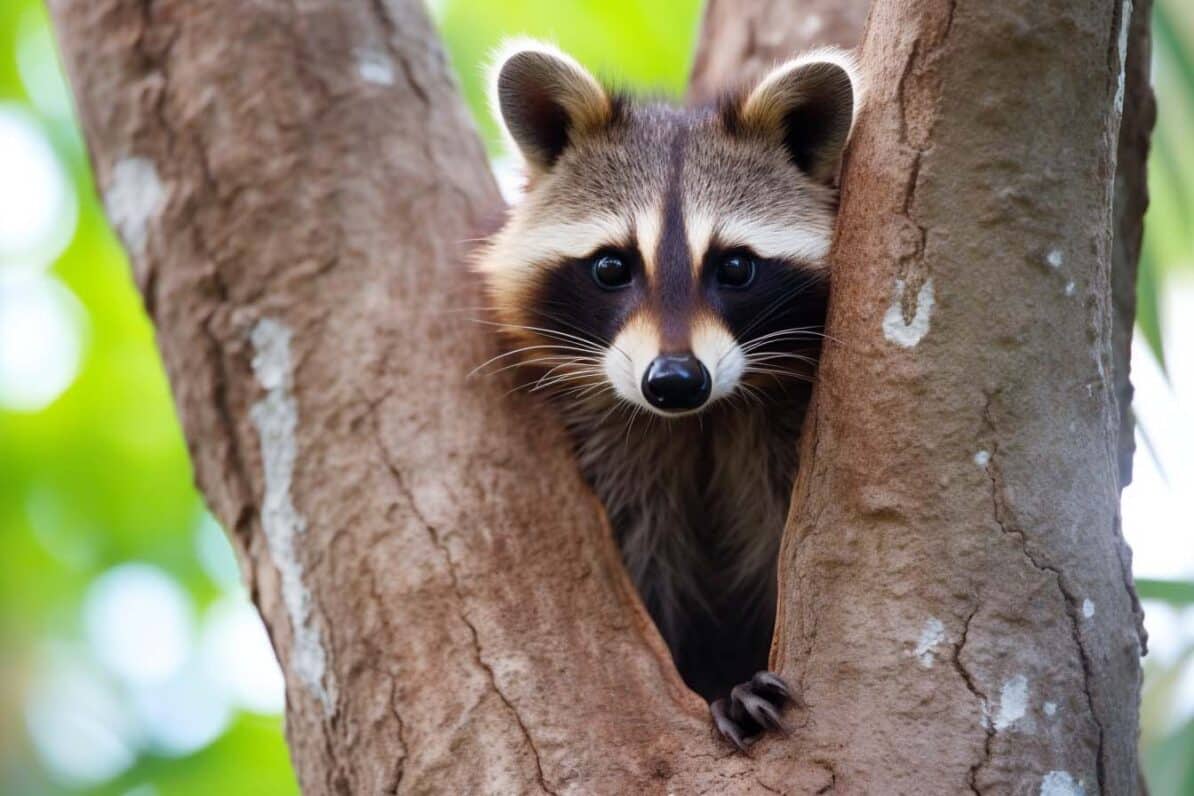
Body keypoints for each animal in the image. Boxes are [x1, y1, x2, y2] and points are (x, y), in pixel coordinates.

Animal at [476, 39, 858, 750]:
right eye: (610, 266)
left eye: (735, 267)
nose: (675, 382)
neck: (699, 422)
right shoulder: (616, 447)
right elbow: (646, 566)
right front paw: (710, 686)